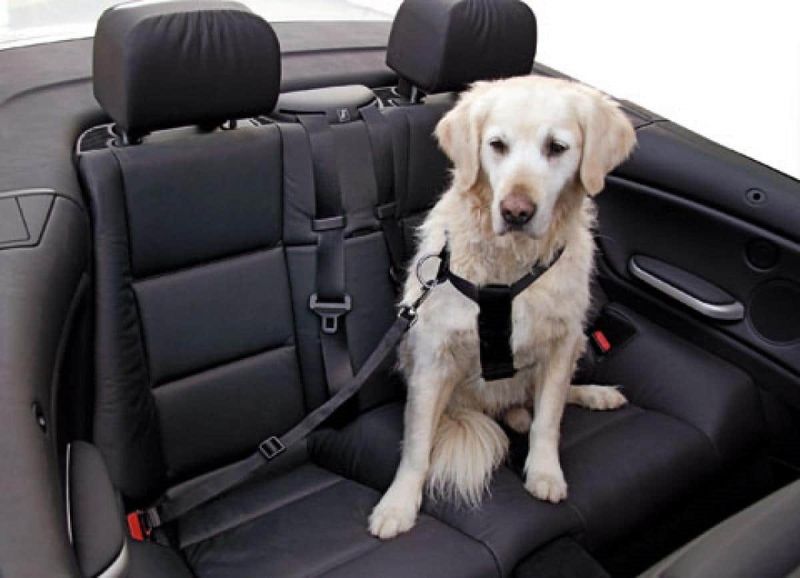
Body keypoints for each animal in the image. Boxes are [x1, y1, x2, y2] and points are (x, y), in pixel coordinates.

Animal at [368, 75, 637, 540]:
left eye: (557, 147)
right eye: (497, 145)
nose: (515, 211)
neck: (509, 266)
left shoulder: (561, 341)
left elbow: (550, 417)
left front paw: (545, 472)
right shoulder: (434, 357)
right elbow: (417, 443)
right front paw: (398, 504)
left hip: (573, 345)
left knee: (553, 396)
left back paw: (594, 395)